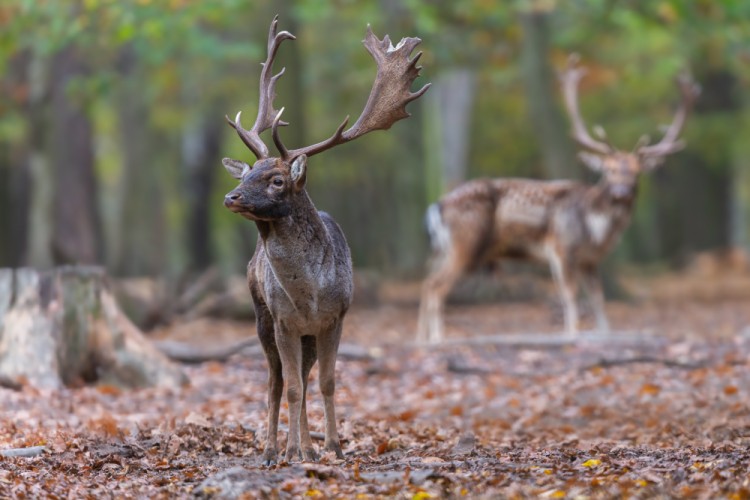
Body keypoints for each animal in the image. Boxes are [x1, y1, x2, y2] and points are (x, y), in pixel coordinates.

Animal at [222, 19, 428, 464]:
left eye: (276, 179)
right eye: (246, 174)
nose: (232, 197)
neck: (309, 296)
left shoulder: (335, 318)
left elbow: (326, 383)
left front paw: (332, 446)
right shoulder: (284, 320)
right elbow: (291, 387)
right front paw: (290, 450)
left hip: (307, 335)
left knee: (301, 377)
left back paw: (307, 449)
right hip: (262, 317)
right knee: (277, 382)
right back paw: (273, 449)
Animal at [420, 55, 704, 344]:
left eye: (637, 172)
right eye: (609, 170)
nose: (622, 193)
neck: (596, 230)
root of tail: (436, 207)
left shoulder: (590, 260)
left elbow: (598, 299)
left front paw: (604, 334)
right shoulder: (560, 248)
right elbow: (570, 296)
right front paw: (572, 335)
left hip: (442, 249)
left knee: (426, 282)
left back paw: (423, 338)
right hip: (465, 244)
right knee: (436, 286)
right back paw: (437, 339)